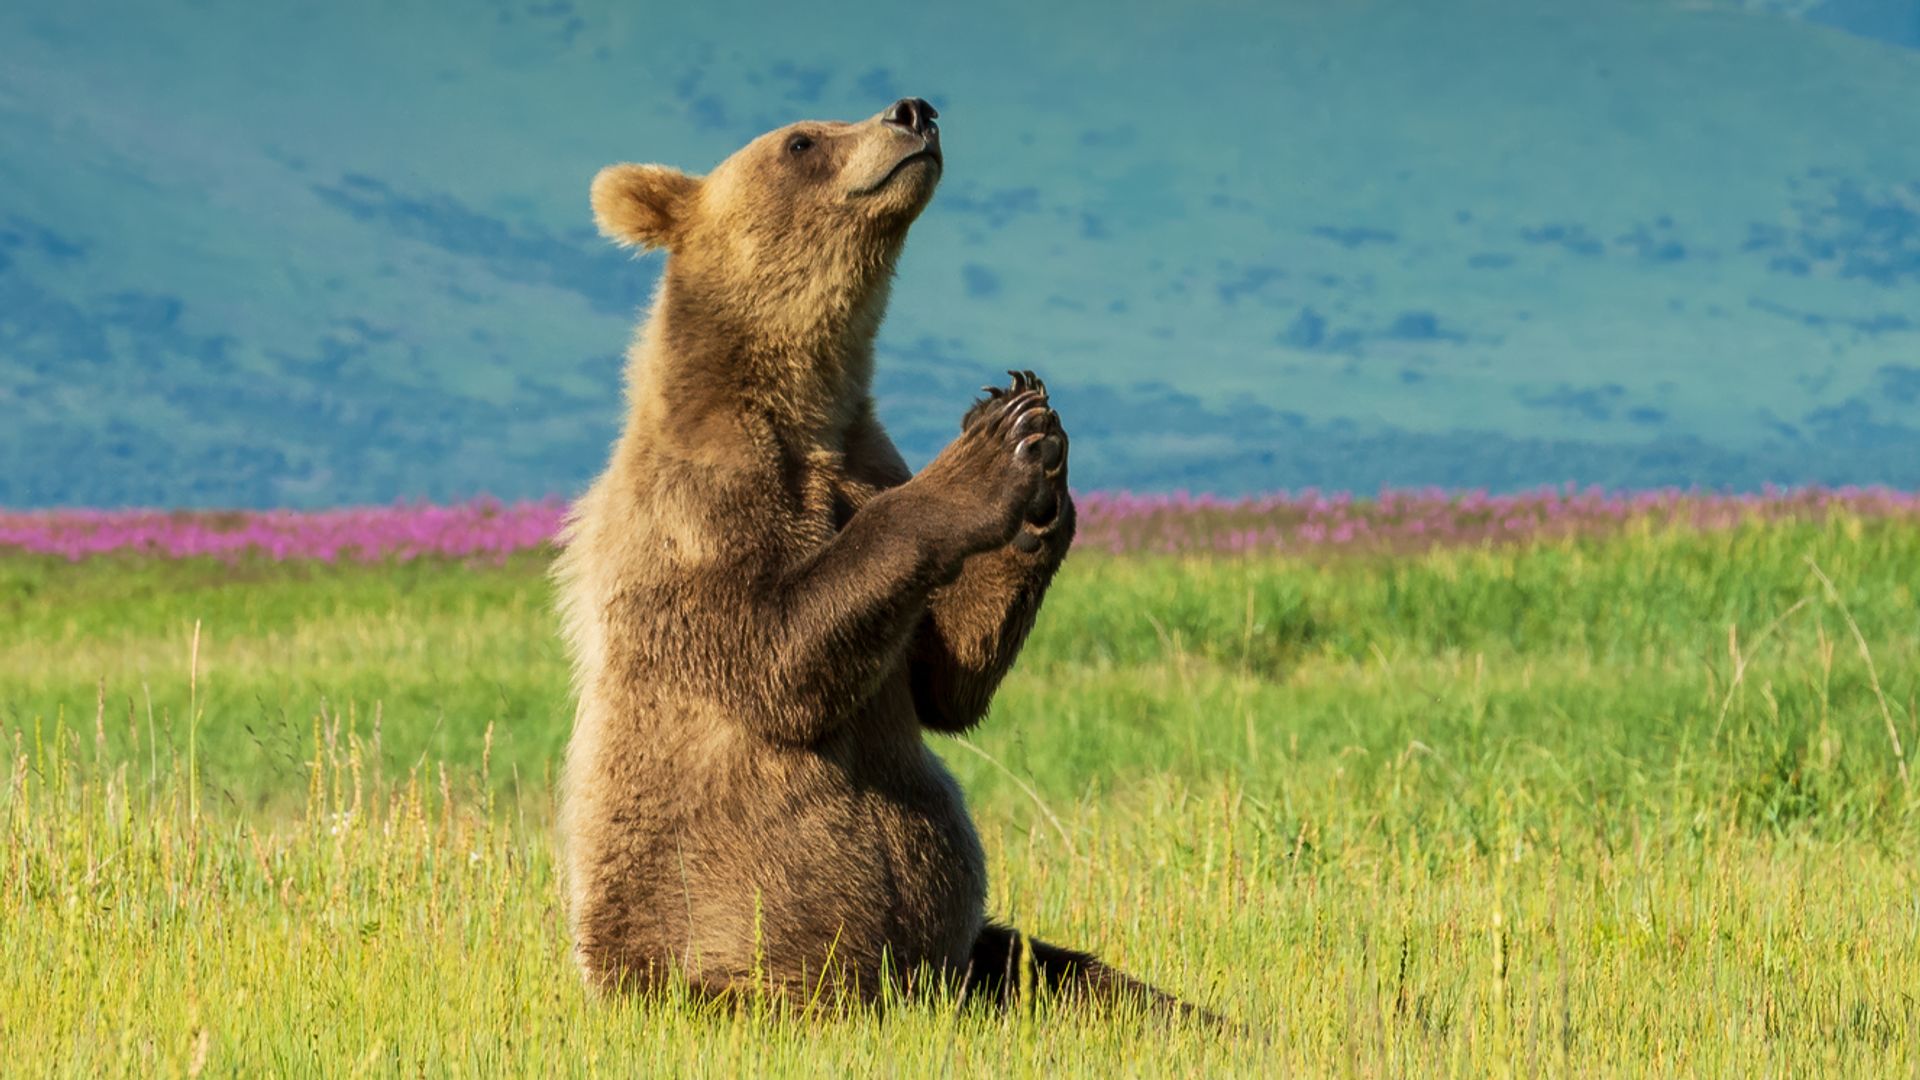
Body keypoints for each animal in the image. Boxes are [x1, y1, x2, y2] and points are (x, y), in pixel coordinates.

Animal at [554, 97, 1195, 1017]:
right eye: (800, 141)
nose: (912, 111)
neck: (804, 407)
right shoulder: (699, 505)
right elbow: (777, 648)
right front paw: (985, 457)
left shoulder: (862, 457)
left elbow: (942, 679)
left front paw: (1031, 435)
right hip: (726, 960)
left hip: (977, 958)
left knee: (1068, 973)